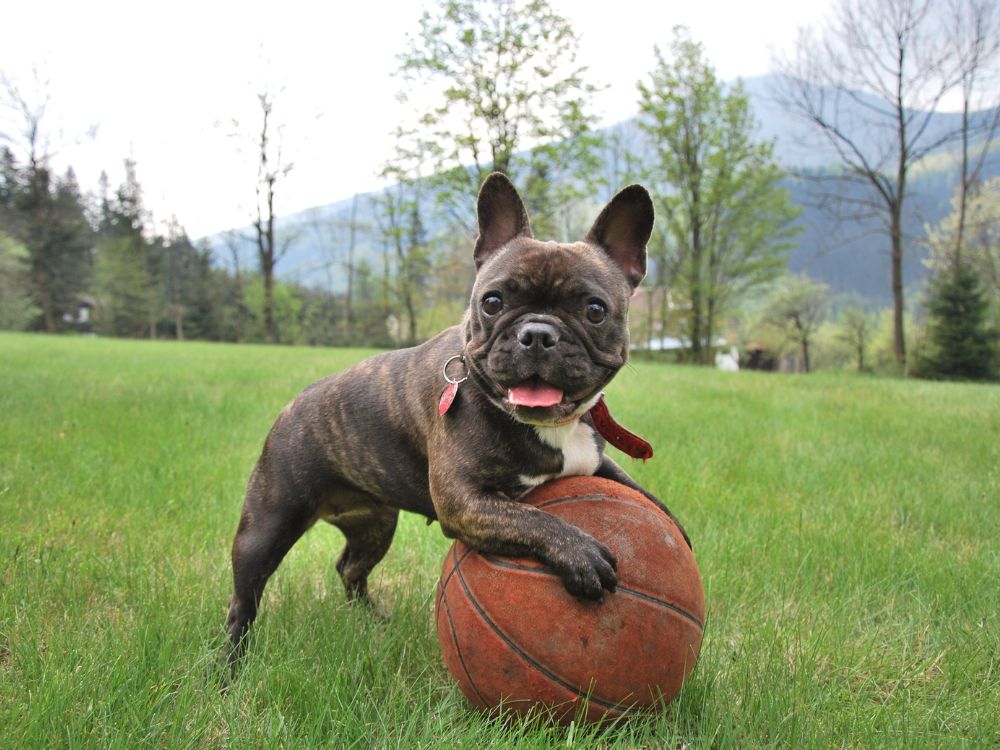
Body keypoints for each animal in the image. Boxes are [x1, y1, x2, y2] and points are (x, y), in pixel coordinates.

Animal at [225, 173, 688, 660]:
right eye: (492, 302)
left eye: (595, 310)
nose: (537, 333)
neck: (549, 425)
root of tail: (292, 405)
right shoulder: (465, 501)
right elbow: (531, 518)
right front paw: (580, 553)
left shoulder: (594, 460)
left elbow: (637, 490)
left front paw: (672, 526)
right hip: (267, 527)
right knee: (244, 601)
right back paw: (231, 665)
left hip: (375, 524)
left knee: (350, 567)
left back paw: (372, 620)